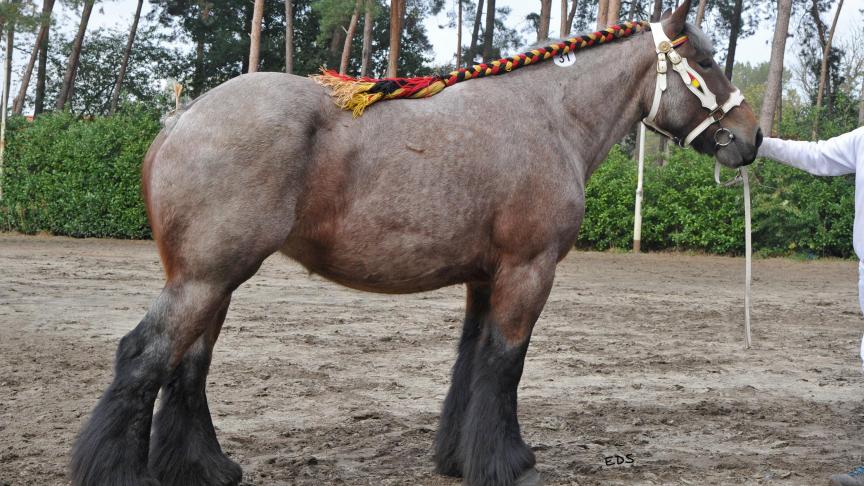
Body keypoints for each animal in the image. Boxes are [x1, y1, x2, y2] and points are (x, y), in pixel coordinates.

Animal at [72, 1, 764, 484]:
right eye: (705, 60)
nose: (752, 137)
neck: (548, 116)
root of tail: (181, 117)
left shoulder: (485, 277)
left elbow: (471, 363)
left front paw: (461, 458)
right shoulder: (529, 270)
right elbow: (505, 363)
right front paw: (509, 463)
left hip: (212, 281)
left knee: (188, 363)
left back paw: (206, 469)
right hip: (207, 277)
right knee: (144, 356)